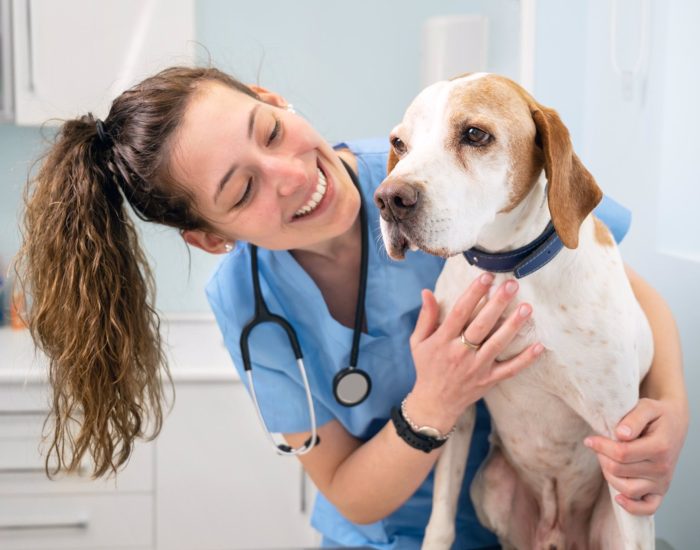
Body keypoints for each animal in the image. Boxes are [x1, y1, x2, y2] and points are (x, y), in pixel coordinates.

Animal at [374, 74, 652, 550]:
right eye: (399, 143)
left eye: (474, 134)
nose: (389, 199)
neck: (510, 270)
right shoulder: (456, 407)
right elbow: (441, 521)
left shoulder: (621, 439)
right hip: (489, 486)